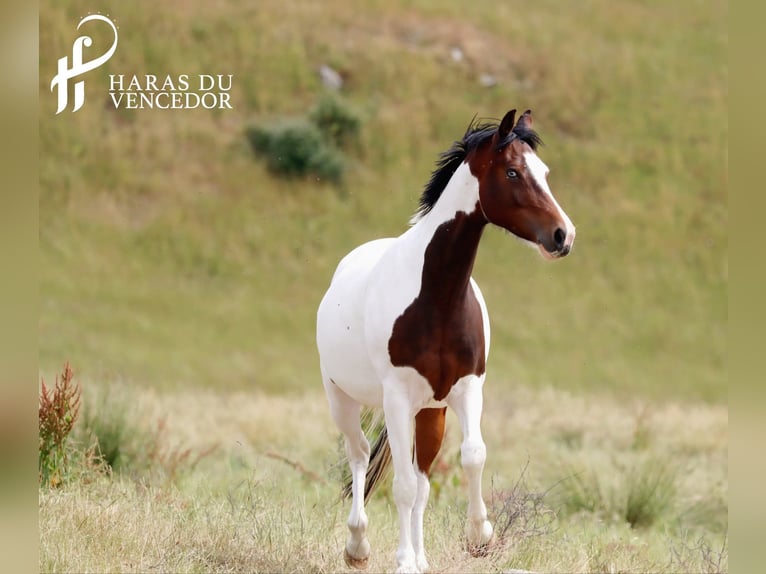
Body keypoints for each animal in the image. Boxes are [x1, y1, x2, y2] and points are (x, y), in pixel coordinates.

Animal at [316, 109, 575, 573]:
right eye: (512, 172)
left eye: (544, 172)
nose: (564, 235)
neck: (437, 298)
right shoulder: (397, 398)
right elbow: (400, 485)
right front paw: (401, 561)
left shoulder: (466, 389)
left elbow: (472, 456)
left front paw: (479, 536)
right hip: (342, 400)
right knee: (360, 457)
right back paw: (358, 546)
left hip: (429, 413)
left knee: (420, 481)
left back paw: (420, 558)